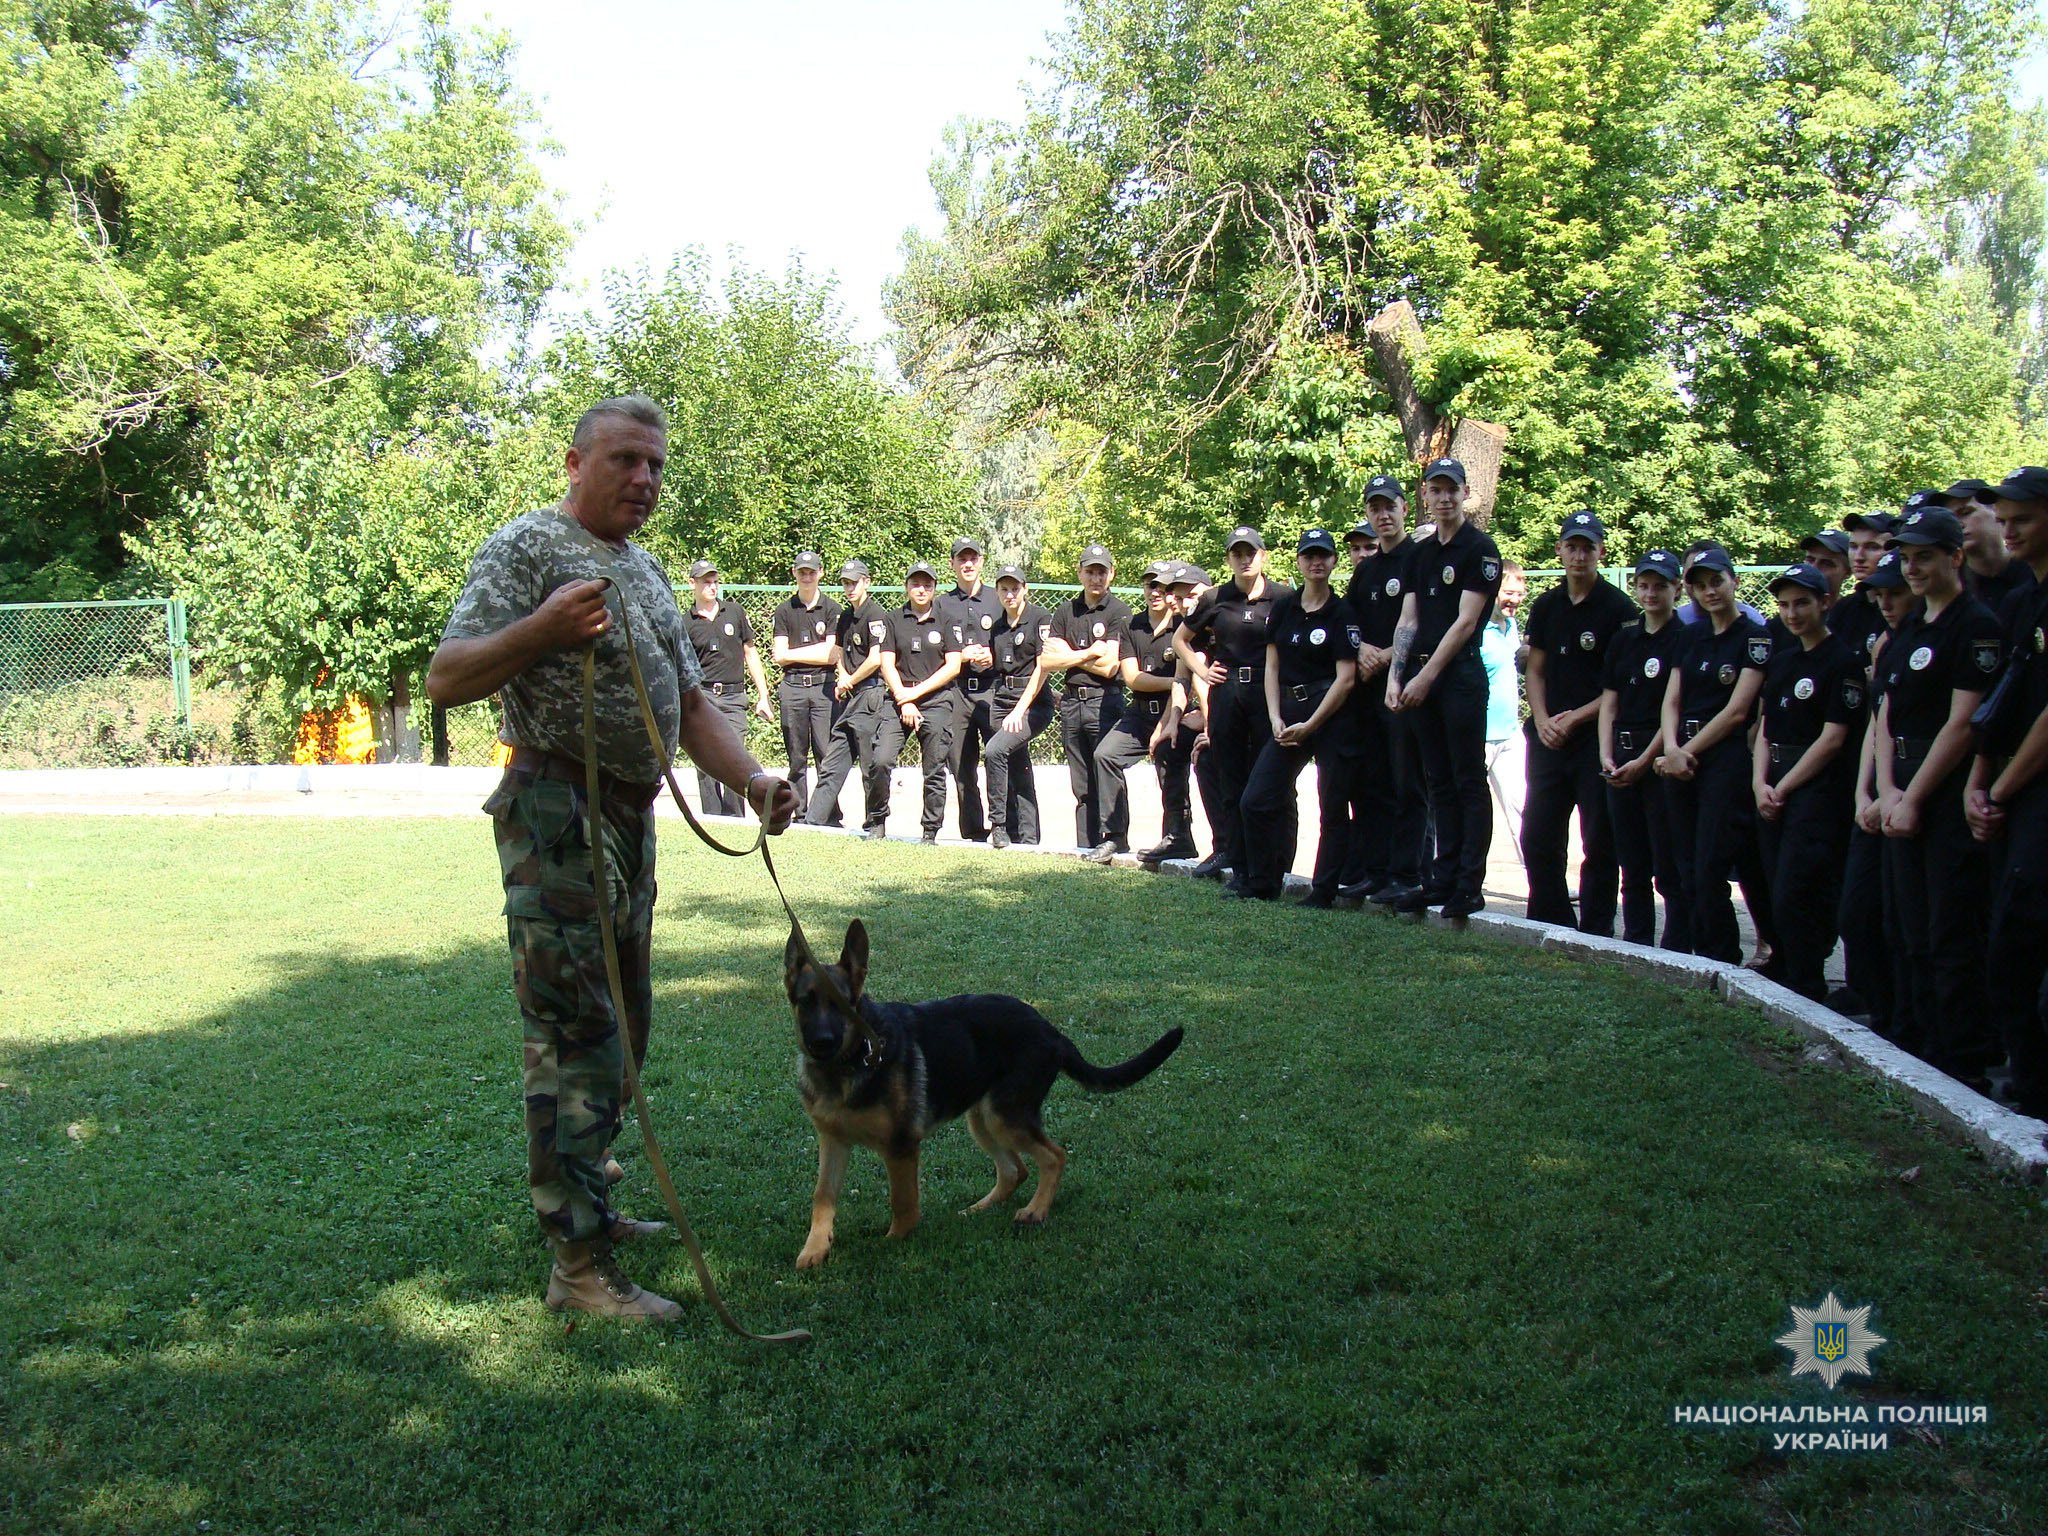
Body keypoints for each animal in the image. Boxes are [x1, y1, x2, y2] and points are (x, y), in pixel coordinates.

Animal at [790, 921, 1196, 1269]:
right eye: (805, 1001)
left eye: (843, 1004)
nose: (820, 1044)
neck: (851, 1059)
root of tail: (1053, 1031)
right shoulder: (833, 1142)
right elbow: (822, 1197)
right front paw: (816, 1248)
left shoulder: (901, 1147)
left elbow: (903, 1205)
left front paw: (892, 1245)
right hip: (983, 1118)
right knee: (1015, 1169)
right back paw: (979, 1210)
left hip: (1004, 1116)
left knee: (1054, 1157)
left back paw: (1035, 1211)